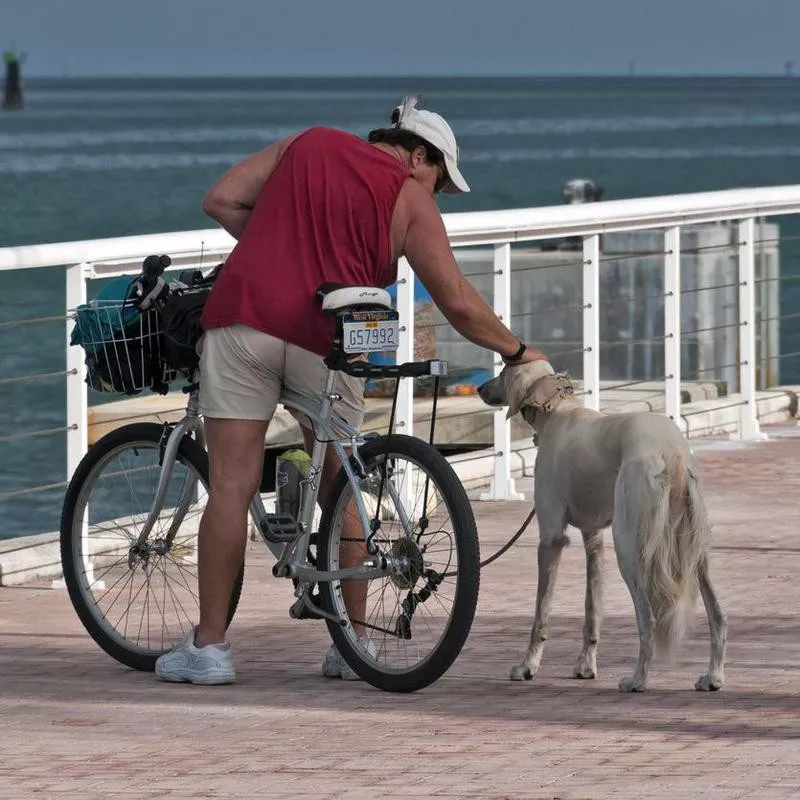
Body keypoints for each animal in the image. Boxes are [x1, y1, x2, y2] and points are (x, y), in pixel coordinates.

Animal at [478, 360, 728, 692]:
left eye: (503, 372)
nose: (480, 388)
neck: (558, 412)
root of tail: (671, 448)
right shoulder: (593, 537)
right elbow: (592, 607)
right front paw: (585, 665)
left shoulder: (550, 539)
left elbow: (541, 611)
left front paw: (527, 666)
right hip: (693, 545)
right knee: (718, 615)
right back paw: (713, 676)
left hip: (629, 546)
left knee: (648, 618)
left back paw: (637, 680)